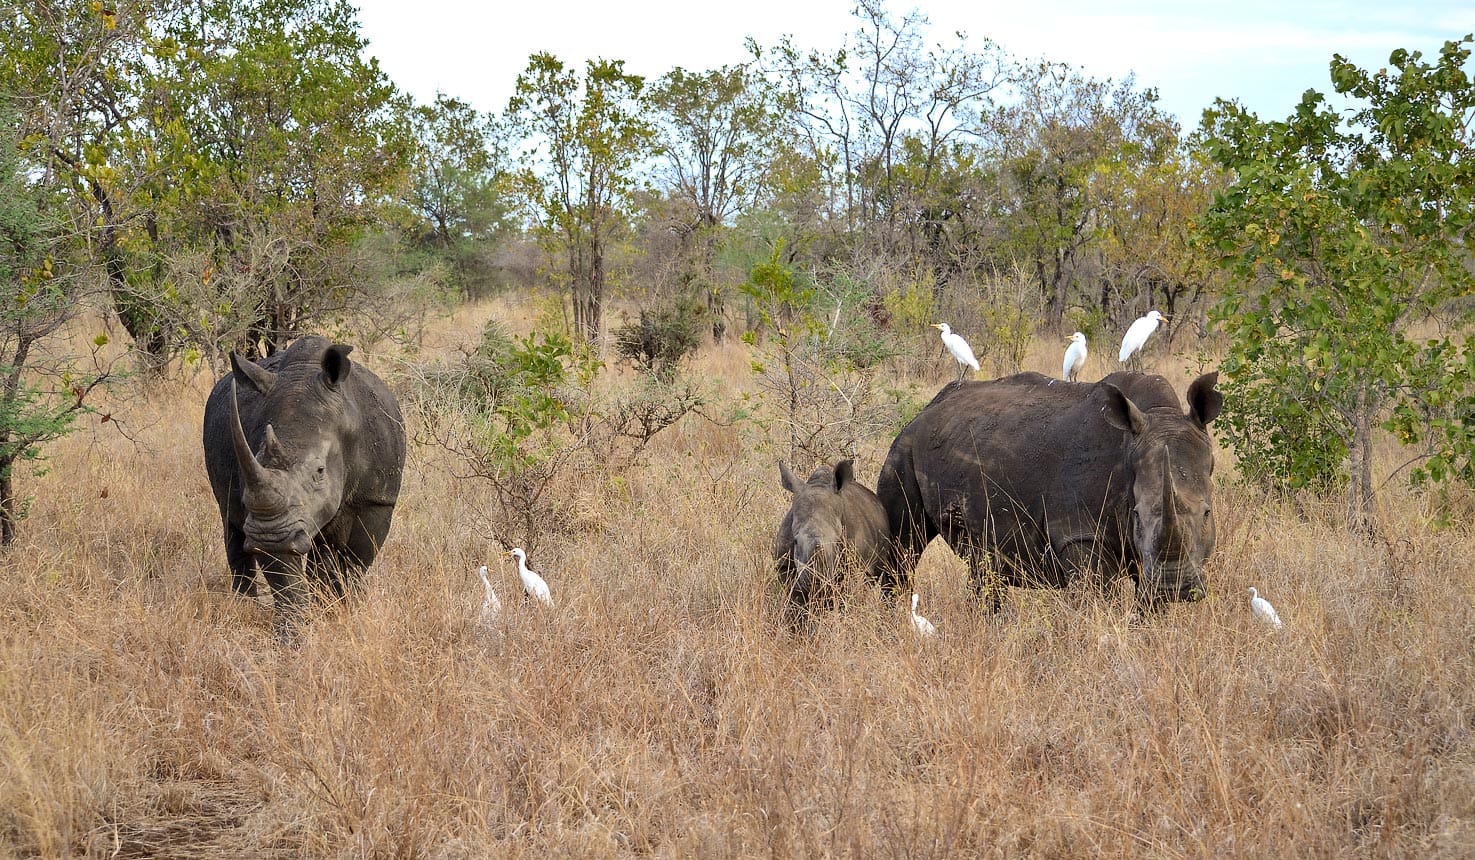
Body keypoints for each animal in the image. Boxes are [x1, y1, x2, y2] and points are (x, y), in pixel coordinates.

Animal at [202, 336, 407, 622]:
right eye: (255, 460)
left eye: (320, 471)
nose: (270, 536)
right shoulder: (273, 520)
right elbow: (285, 578)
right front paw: (296, 626)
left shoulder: (376, 500)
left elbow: (354, 564)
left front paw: (343, 611)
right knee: (230, 522)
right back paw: (244, 606)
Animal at [774, 459, 891, 622]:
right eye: (795, 541)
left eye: (837, 542)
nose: (816, 581)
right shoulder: (784, 567)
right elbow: (796, 606)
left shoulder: (857, 568)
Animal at [876, 371, 1223, 614]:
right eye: (1136, 515)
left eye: (1207, 514)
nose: (1174, 587)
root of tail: (927, 408)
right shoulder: (1079, 532)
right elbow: (1097, 601)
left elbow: (1150, 609)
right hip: (904, 445)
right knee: (903, 548)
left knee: (984, 565)